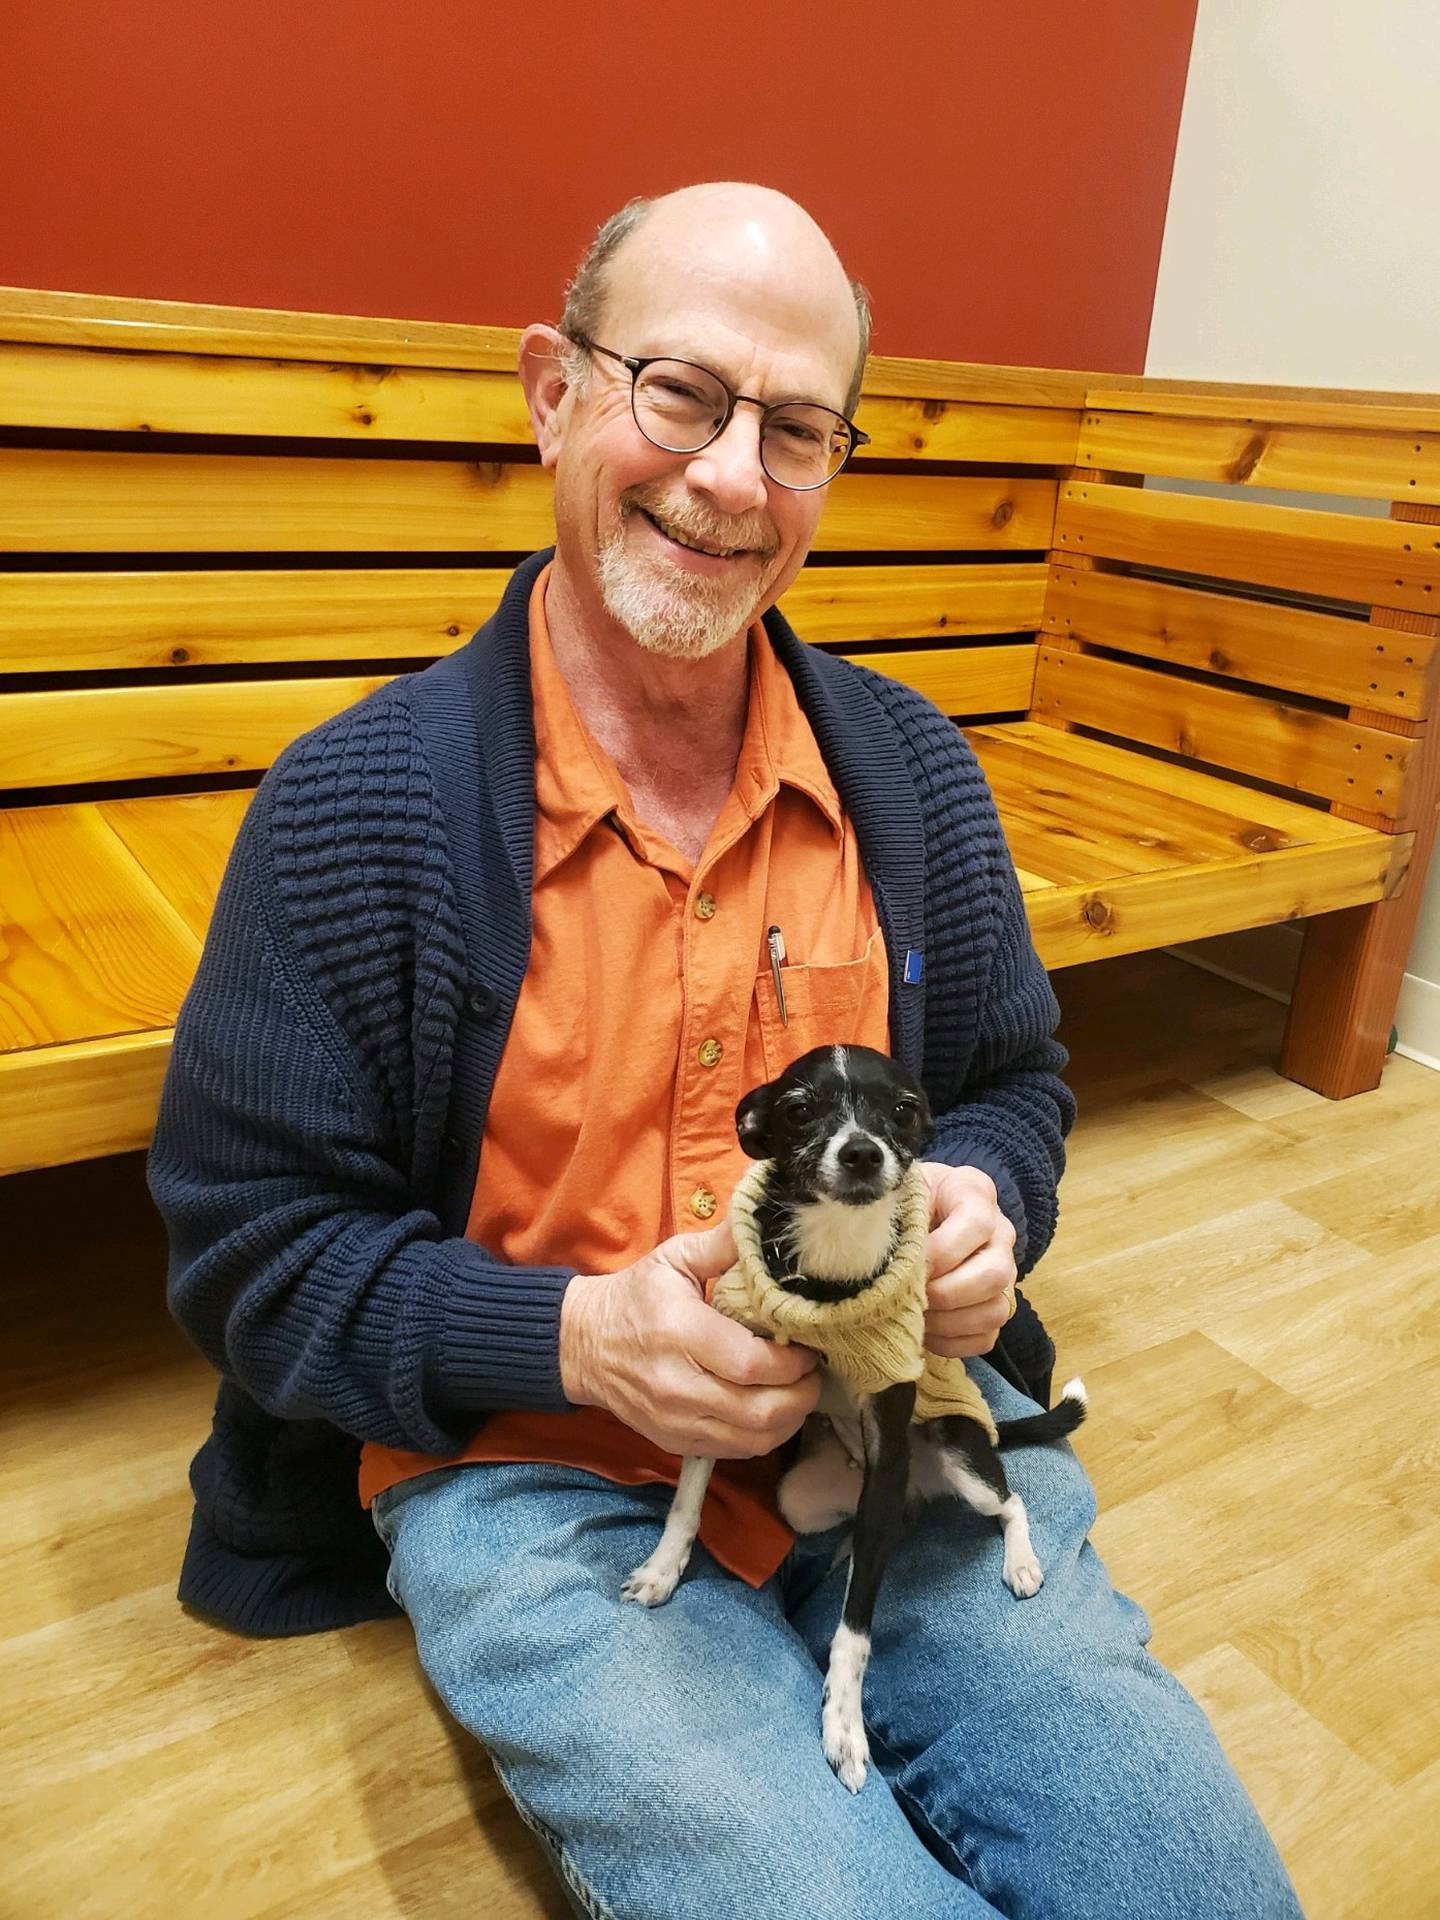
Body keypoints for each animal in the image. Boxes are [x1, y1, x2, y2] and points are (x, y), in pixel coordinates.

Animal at [625, 1044, 1090, 1789]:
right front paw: (663, 1570)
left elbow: (856, 1633)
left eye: (903, 1111)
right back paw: (851, 1549)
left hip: (955, 1453)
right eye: (797, 1110)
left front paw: (843, 1722)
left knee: (1006, 1501)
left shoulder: (889, 1438)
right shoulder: (722, 1388)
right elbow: (686, 1502)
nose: (863, 1152)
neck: (832, 1261)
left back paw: (1017, 1562)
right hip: (807, 1495)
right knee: (894, 1521)